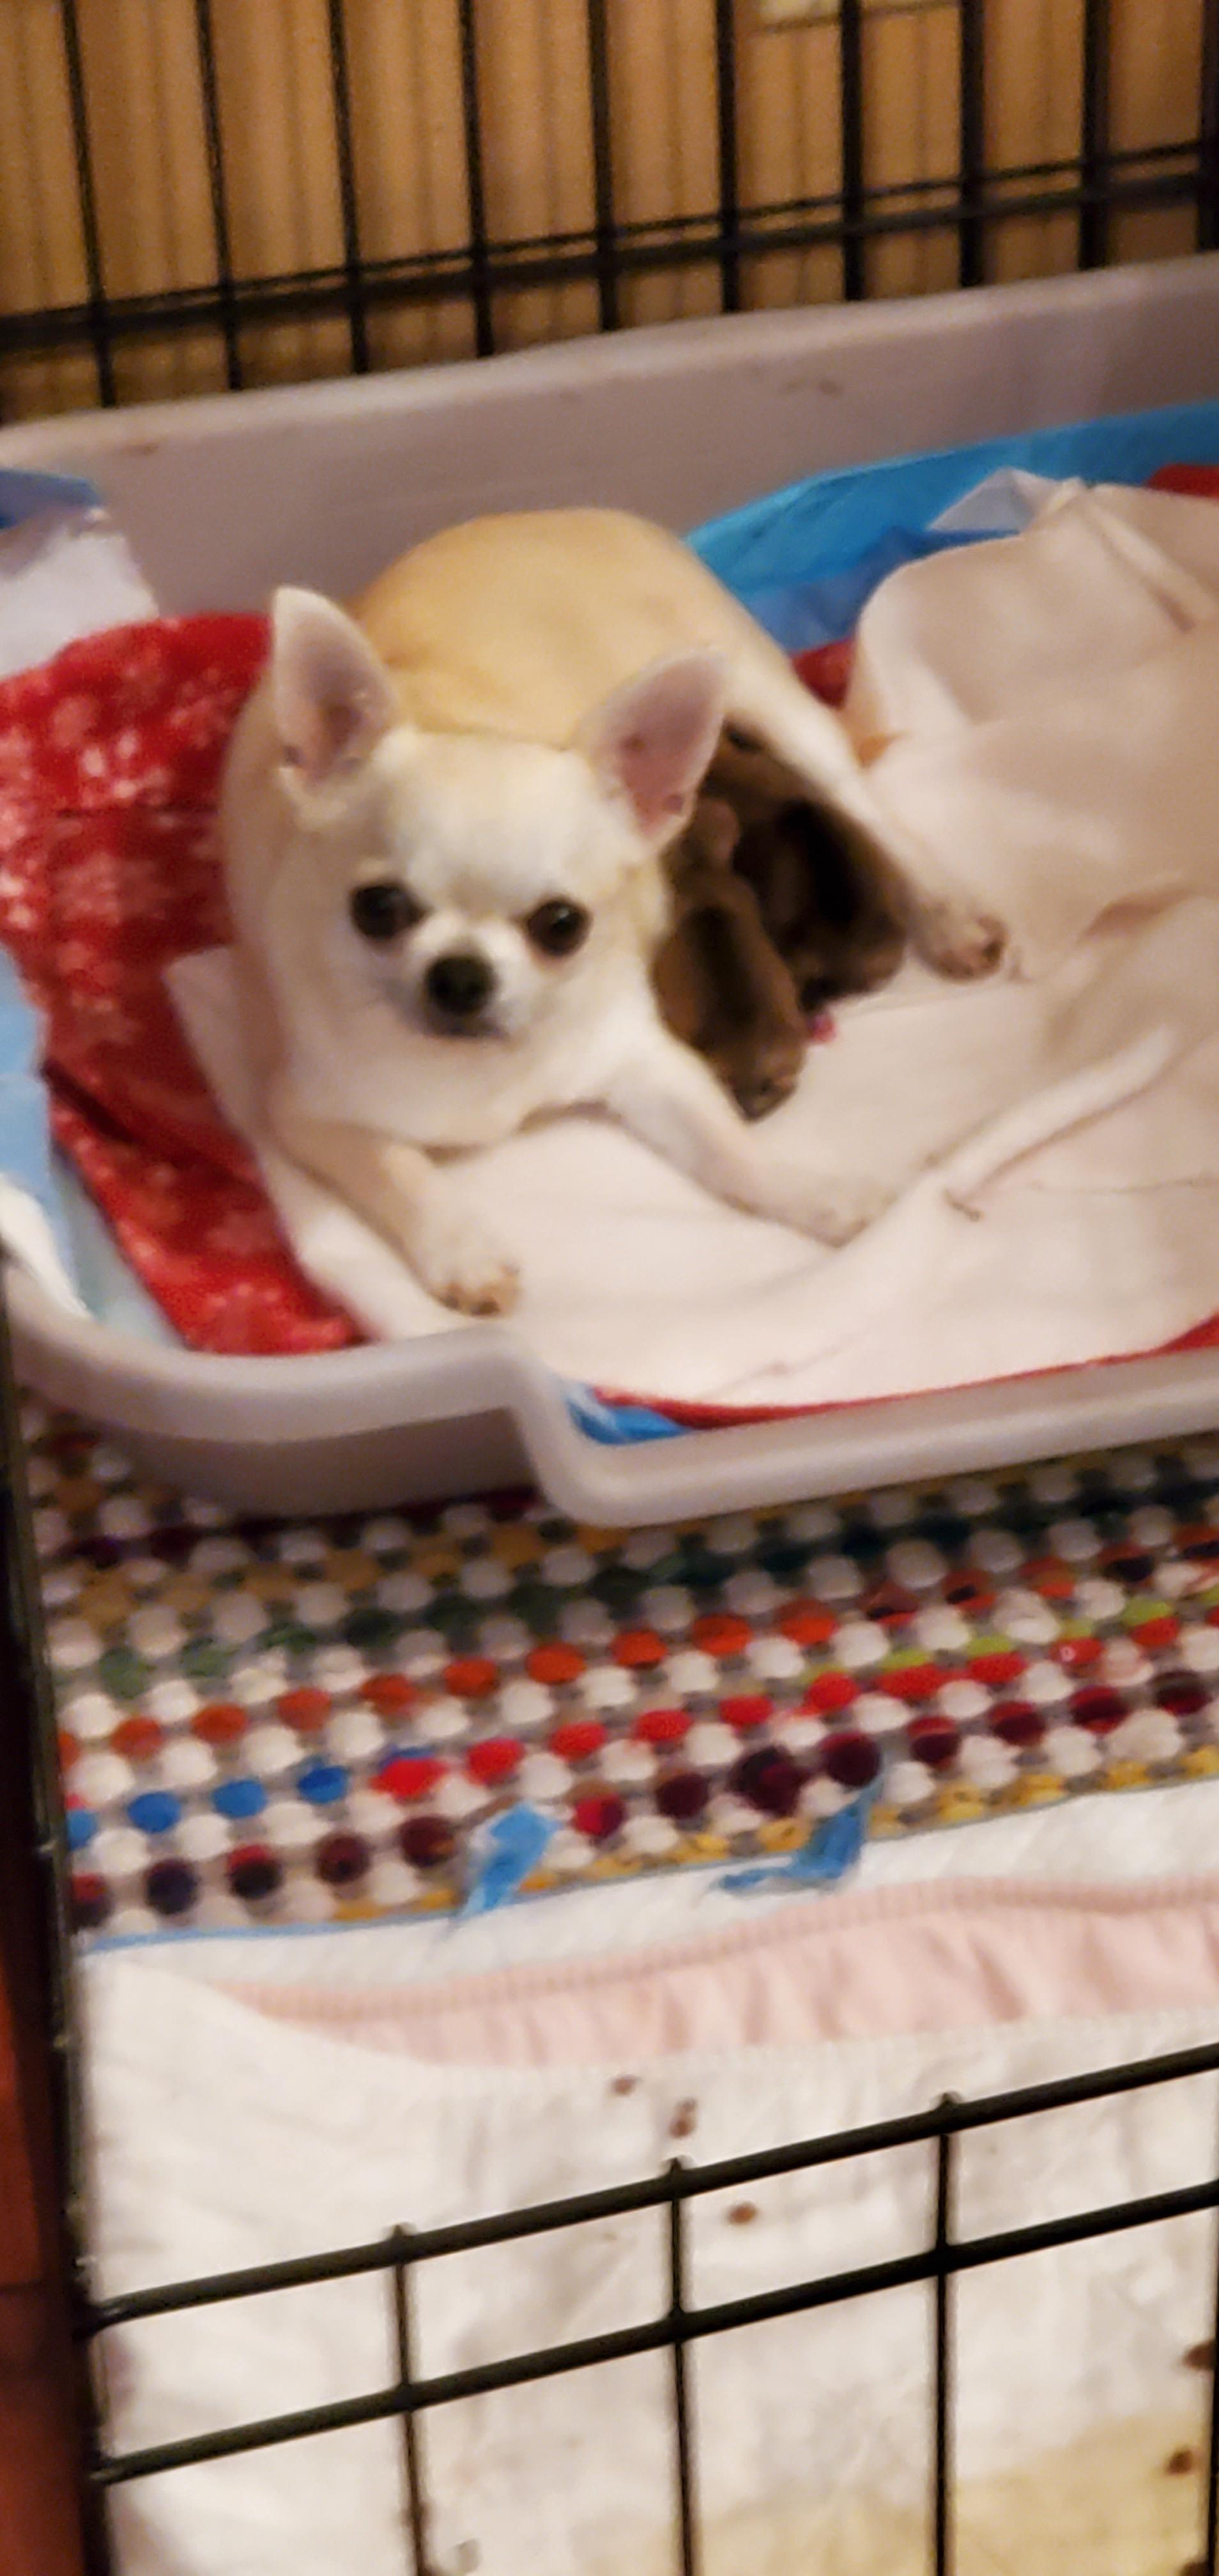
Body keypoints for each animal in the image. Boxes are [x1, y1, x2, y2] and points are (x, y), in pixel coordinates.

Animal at [221, 508, 1004, 1317]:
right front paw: (463, 1249)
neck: (483, 1063)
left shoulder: (647, 1062)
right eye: (376, 910)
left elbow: (734, 1153)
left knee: (866, 807)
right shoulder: (304, 1113)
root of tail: (555, 514)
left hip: (776, 705)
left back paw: (950, 915)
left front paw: (817, 1194)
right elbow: (398, 1169)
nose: (461, 976)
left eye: (562, 926)